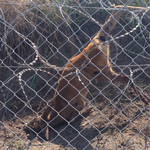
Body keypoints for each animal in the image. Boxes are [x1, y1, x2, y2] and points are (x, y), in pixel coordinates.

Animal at [25, 5, 149, 135]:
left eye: (34, 122)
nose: (25, 127)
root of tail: (94, 42)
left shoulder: (71, 108)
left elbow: (73, 119)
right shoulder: (79, 103)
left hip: (100, 72)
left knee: (126, 78)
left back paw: (143, 98)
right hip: (103, 71)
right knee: (128, 78)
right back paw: (144, 98)